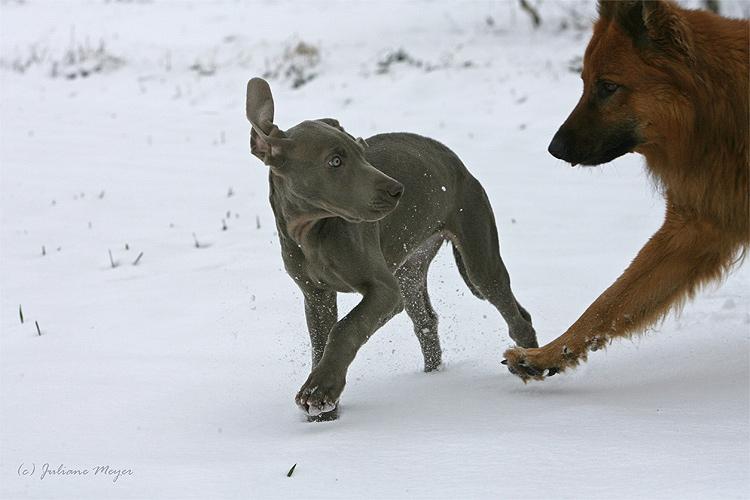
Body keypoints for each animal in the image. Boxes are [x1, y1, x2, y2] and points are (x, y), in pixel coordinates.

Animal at [248, 78, 540, 420]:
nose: (398, 190)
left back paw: (530, 364)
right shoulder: (315, 296)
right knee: (425, 321)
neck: (312, 233)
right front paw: (324, 411)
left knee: (515, 315)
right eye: (335, 161)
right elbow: (320, 342)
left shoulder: (384, 292)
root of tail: (453, 158)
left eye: (362, 151)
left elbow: (345, 329)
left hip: (477, 257)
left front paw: (321, 391)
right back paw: (433, 378)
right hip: (410, 271)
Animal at [502, 0, 748, 380]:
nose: (554, 149)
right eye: (584, 83)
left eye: (607, 87)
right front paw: (547, 355)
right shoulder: (693, 228)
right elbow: (610, 301)